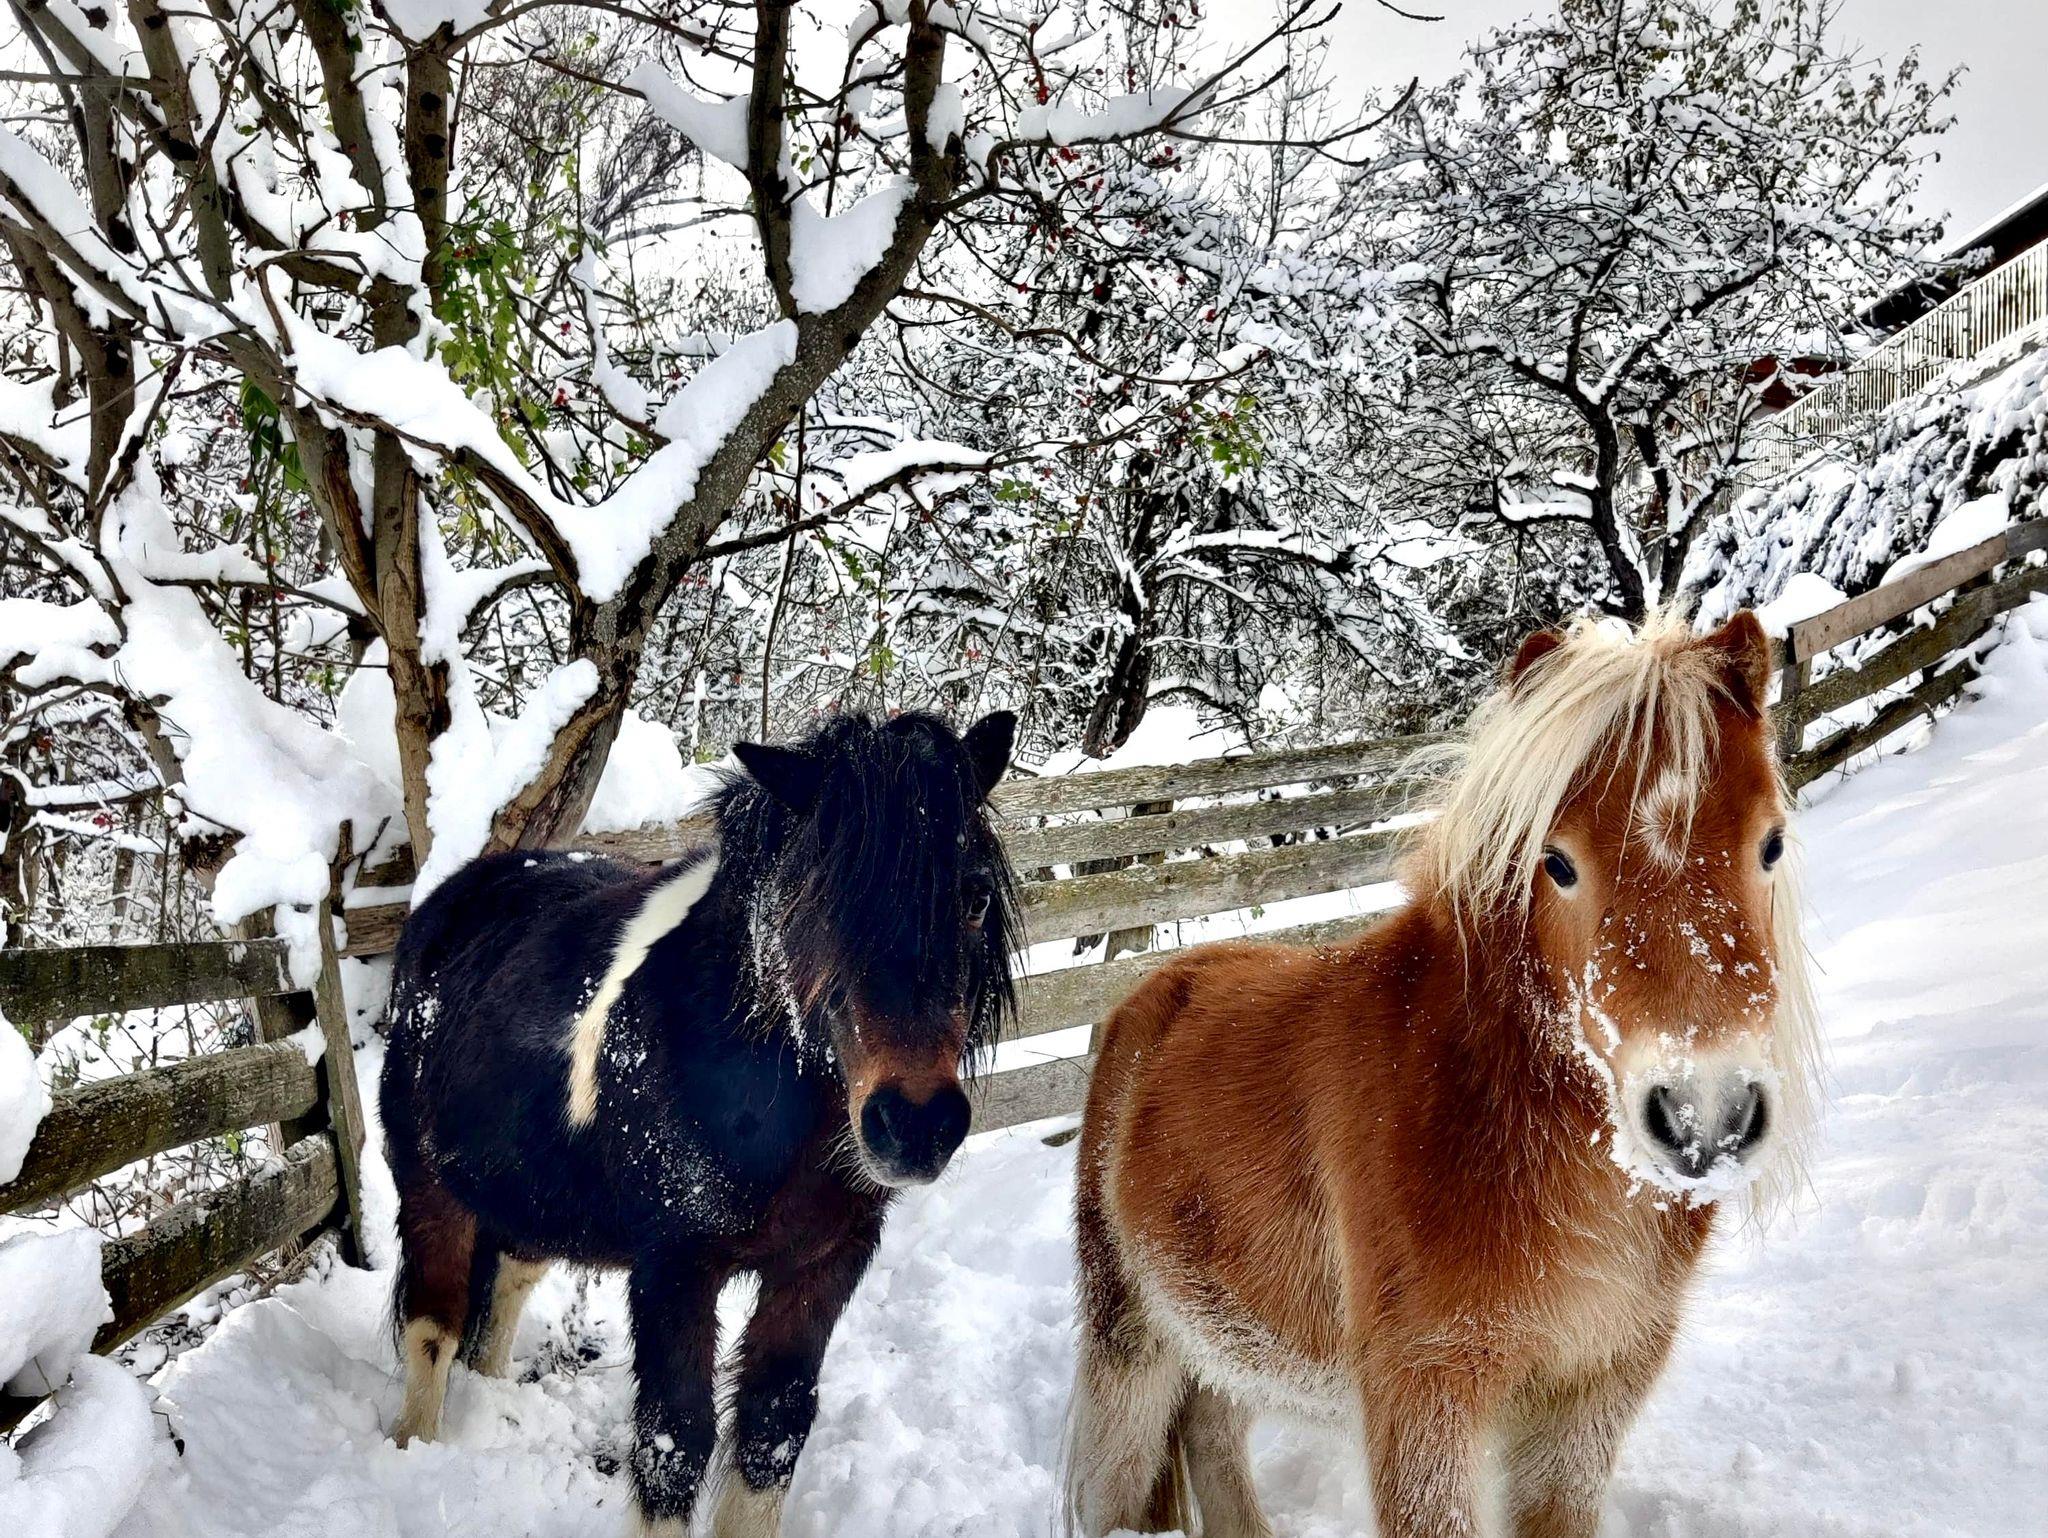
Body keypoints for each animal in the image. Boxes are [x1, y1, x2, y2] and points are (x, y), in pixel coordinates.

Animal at [378, 709, 1021, 1537]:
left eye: (974, 899)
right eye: (822, 900)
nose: (915, 1125)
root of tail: (448, 902)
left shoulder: (823, 1267)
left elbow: (773, 1431)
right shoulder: (675, 1270)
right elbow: (673, 1443)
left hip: (534, 1190)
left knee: (508, 1282)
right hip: (431, 1186)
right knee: (435, 1324)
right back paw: (414, 1447)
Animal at [1064, 610, 1821, 1538]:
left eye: (1771, 843)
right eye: (1558, 863)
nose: (1702, 1119)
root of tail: (1142, 1001)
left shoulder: (1594, 1389)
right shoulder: (1423, 1393)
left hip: (1232, 1332)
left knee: (1212, 1429)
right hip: (1133, 1339)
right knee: (1120, 1476)